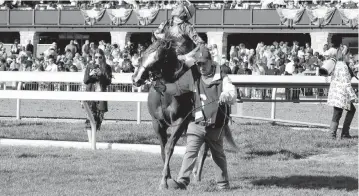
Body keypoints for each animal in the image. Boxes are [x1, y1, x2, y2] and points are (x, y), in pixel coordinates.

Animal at [132, 37, 239, 189]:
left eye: (158, 59)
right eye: (143, 55)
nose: (136, 79)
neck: (166, 95)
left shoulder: (181, 121)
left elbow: (169, 147)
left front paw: (164, 181)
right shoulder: (157, 123)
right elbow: (163, 149)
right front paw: (168, 177)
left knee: (206, 148)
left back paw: (197, 176)